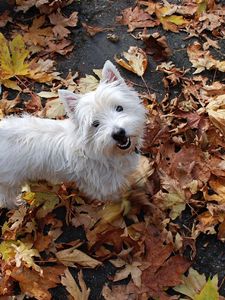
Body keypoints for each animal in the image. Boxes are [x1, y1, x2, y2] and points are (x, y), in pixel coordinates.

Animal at [0, 59, 146, 207]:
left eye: (119, 108)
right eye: (95, 124)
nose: (118, 133)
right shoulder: (104, 186)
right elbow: (114, 197)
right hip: (9, 180)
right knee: (6, 197)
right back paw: (17, 203)